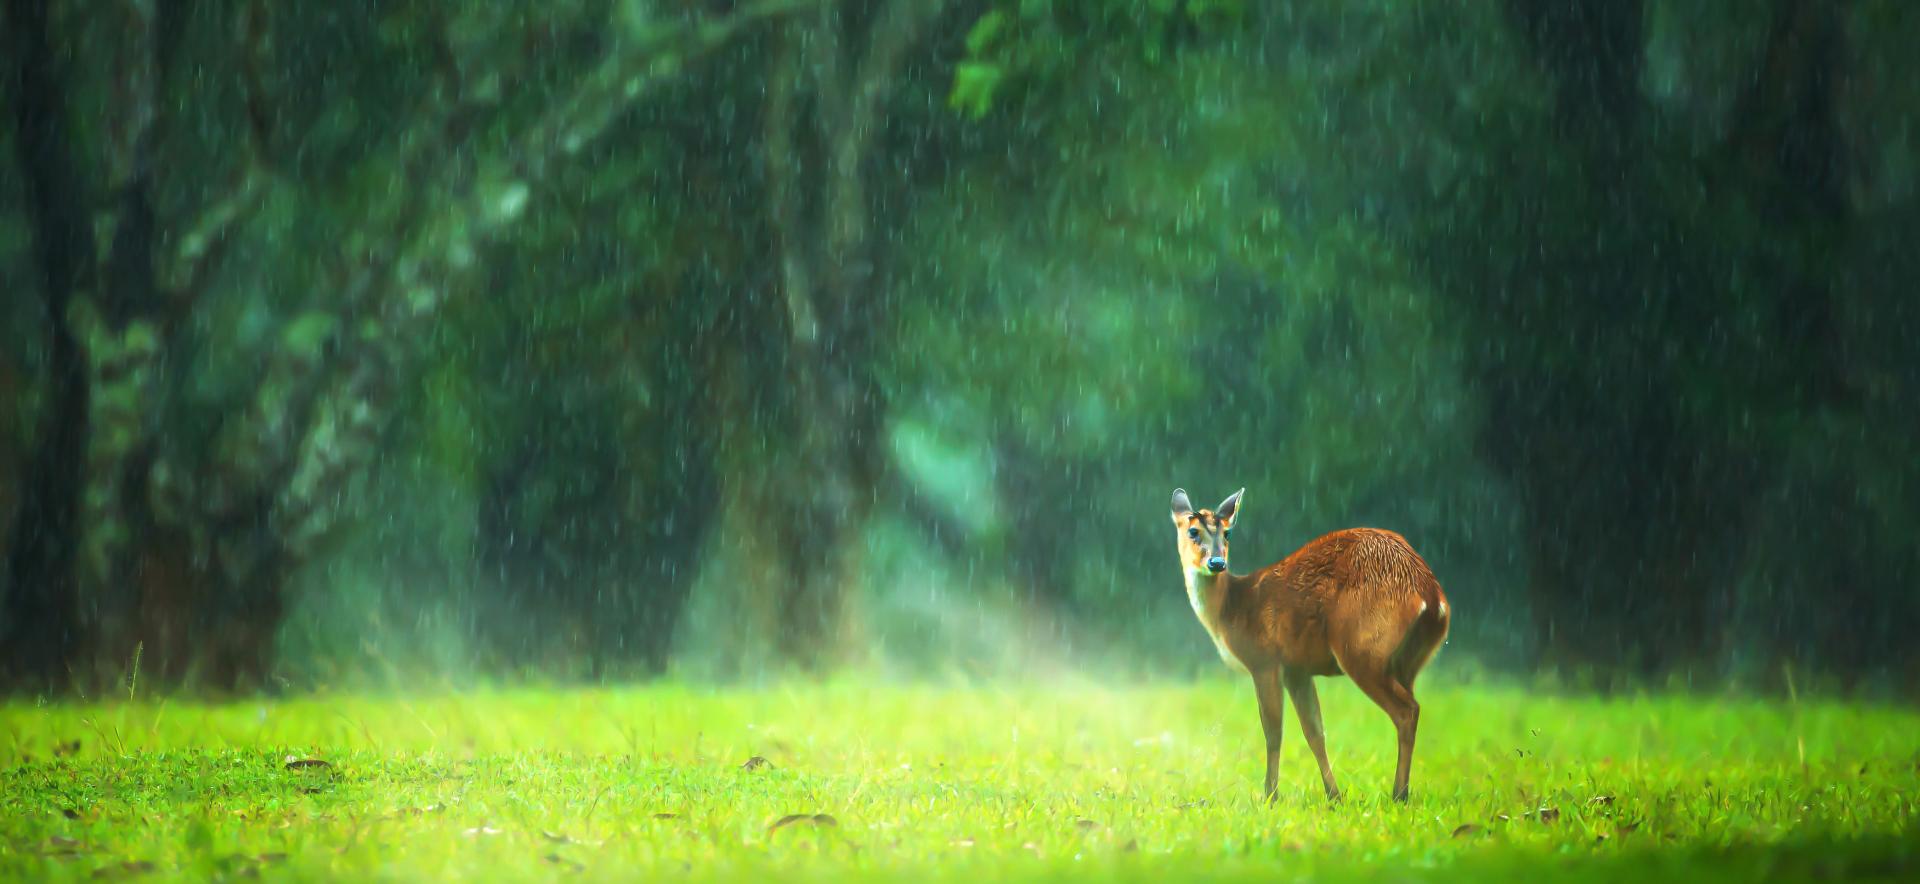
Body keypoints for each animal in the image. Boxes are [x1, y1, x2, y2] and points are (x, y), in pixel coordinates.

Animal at [1167, 486, 1451, 803]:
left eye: (1227, 533)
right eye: (1193, 531)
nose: (1217, 563)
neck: (1234, 607)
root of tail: (1430, 595)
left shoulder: (1265, 660)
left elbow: (1273, 731)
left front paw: (1270, 796)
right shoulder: (1297, 669)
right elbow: (1314, 731)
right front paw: (1334, 796)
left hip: (1361, 650)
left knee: (1406, 711)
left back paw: (1398, 794)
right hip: (1411, 660)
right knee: (1410, 707)